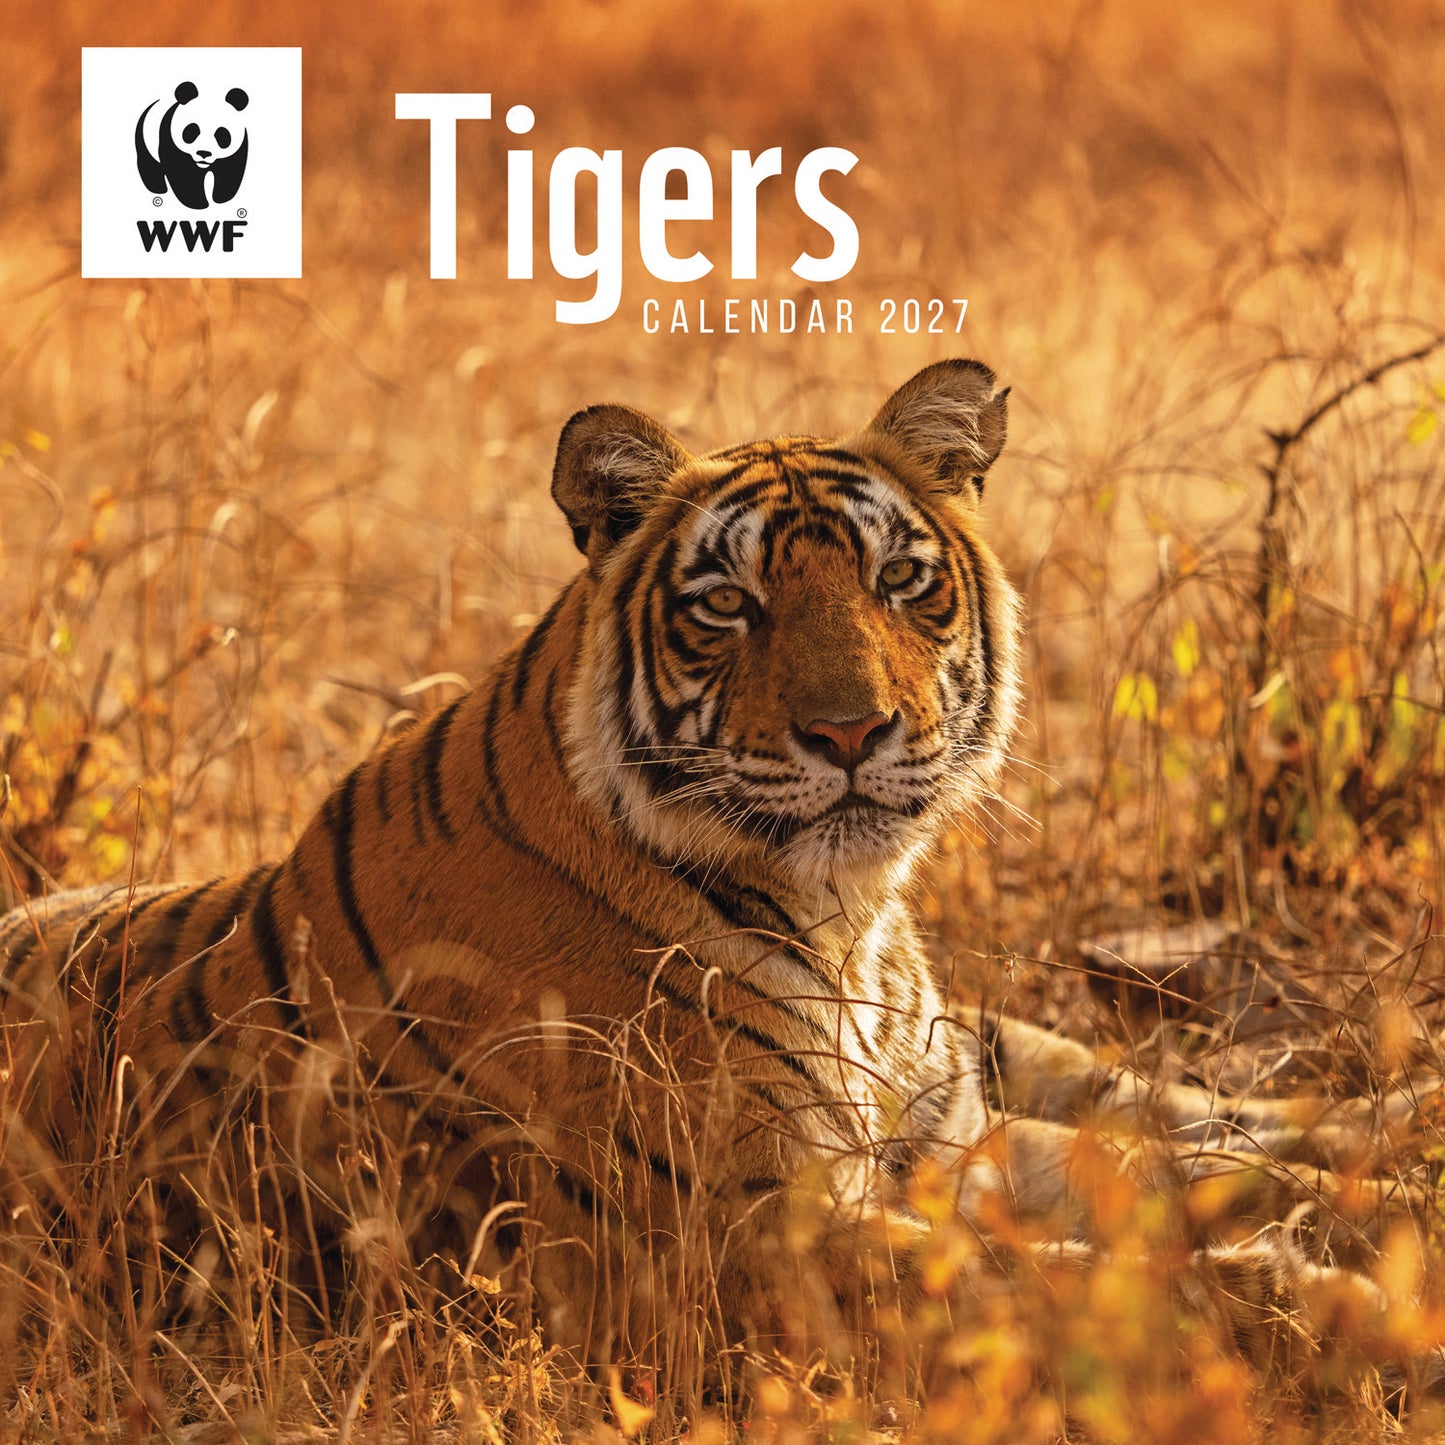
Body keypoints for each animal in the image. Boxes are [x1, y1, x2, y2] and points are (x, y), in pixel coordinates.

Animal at [0, 360, 1433, 1404]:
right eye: (726, 605)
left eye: (899, 581)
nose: (850, 732)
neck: (847, 920)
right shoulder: (738, 1244)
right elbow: (1092, 1278)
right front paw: (1353, 1311)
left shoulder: (934, 1142)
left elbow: (1186, 1176)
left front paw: (1377, 1222)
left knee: (1178, 1099)